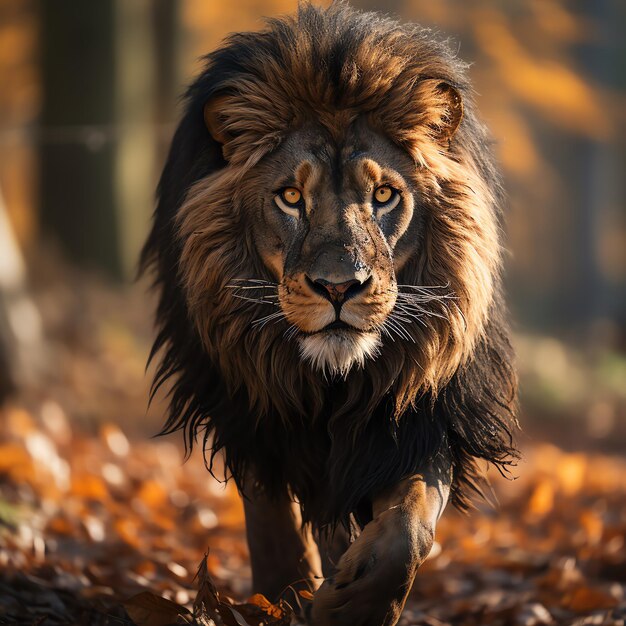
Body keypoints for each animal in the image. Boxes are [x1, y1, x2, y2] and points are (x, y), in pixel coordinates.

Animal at [141, 2, 516, 620]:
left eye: (384, 196)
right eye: (291, 197)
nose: (339, 288)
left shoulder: (417, 410)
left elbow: (410, 524)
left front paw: (358, 603)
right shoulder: (252, 402)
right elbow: (273, 520)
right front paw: (282, 596)